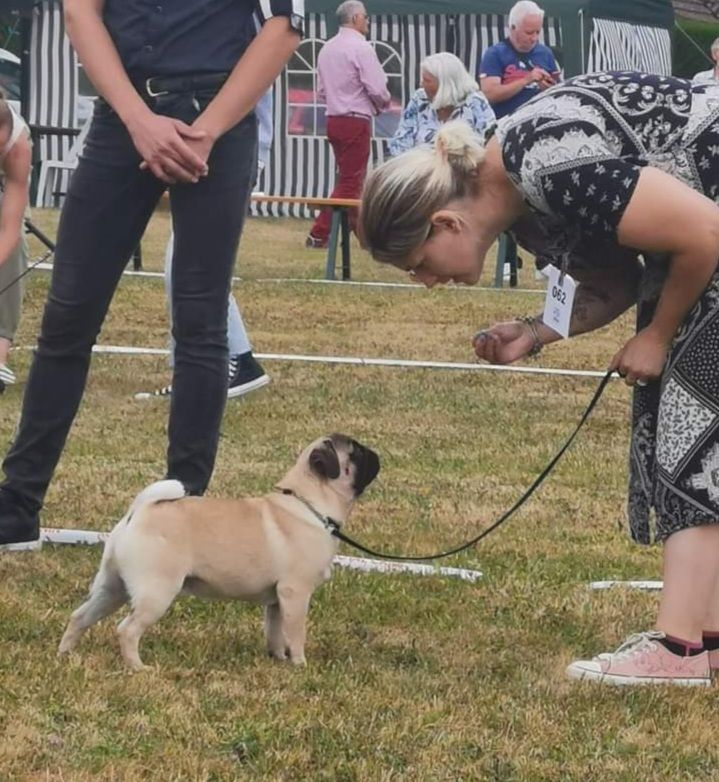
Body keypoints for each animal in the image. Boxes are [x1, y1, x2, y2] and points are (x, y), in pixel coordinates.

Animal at [59, 434, 380, 672]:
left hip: (113, 588)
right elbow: (295, 632)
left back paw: (65, 653)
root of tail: (139, 511)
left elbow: (276, 631)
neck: (309, 504)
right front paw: (299, 665)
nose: (375, 453)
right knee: (127, 629)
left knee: (80, 616)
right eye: (357, 453)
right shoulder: (295, 593)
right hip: (156, 593)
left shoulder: (277, 600)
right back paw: (138, 667)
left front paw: (278, 659)